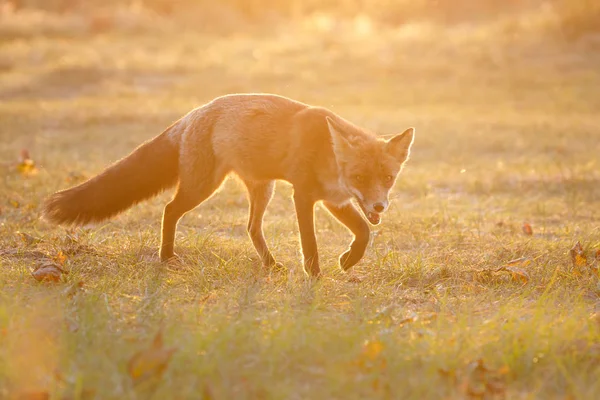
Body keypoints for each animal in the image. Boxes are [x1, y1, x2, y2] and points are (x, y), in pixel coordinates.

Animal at [42, 94, 414, 276]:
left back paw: (270, 265)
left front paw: (348, 260)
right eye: (359, 178)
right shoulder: (305, 195)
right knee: (169, 209)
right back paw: (166, 257)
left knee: (251, 227)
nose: (379, 206)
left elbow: (364, 233)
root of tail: (192, 113)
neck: (328, 156)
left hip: (262, 189)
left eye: (388, 178)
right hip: (203, 185)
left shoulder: (333, 200)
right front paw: (315, 275)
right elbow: (310, 244)